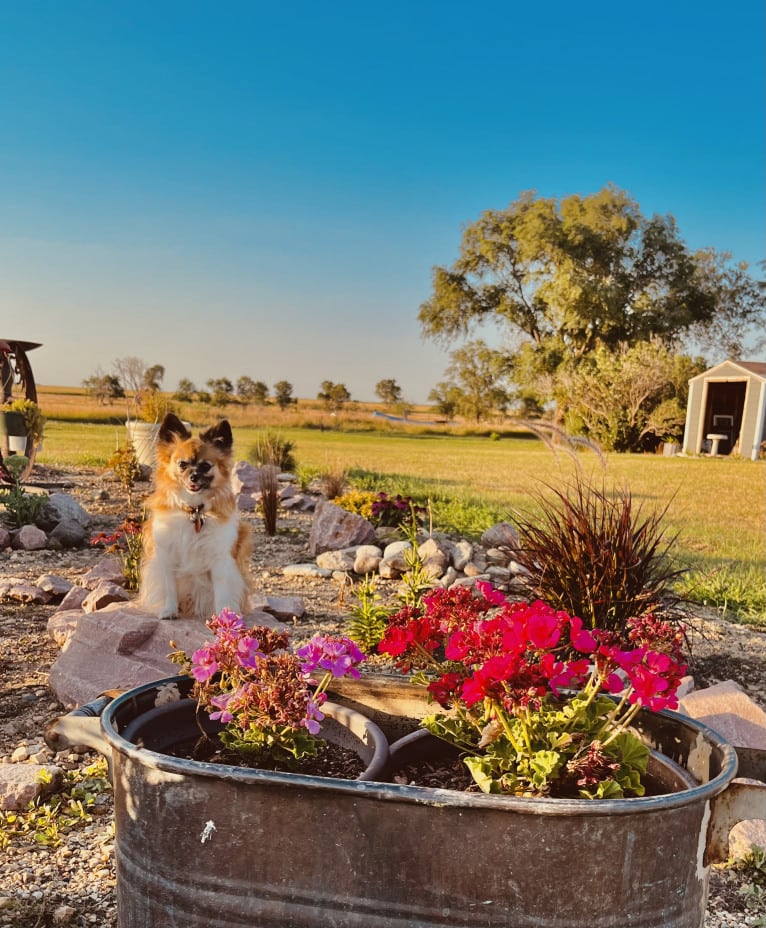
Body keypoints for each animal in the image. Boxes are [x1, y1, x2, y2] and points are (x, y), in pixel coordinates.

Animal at [140, 412, 254, 616]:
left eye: (206, 466)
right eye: (182, 464)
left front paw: (222, 617)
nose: (193, 476)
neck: (193, 510)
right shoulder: (167, 555)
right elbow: (170, 589)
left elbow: (222, 593)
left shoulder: (220, 560)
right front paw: (170, 611)